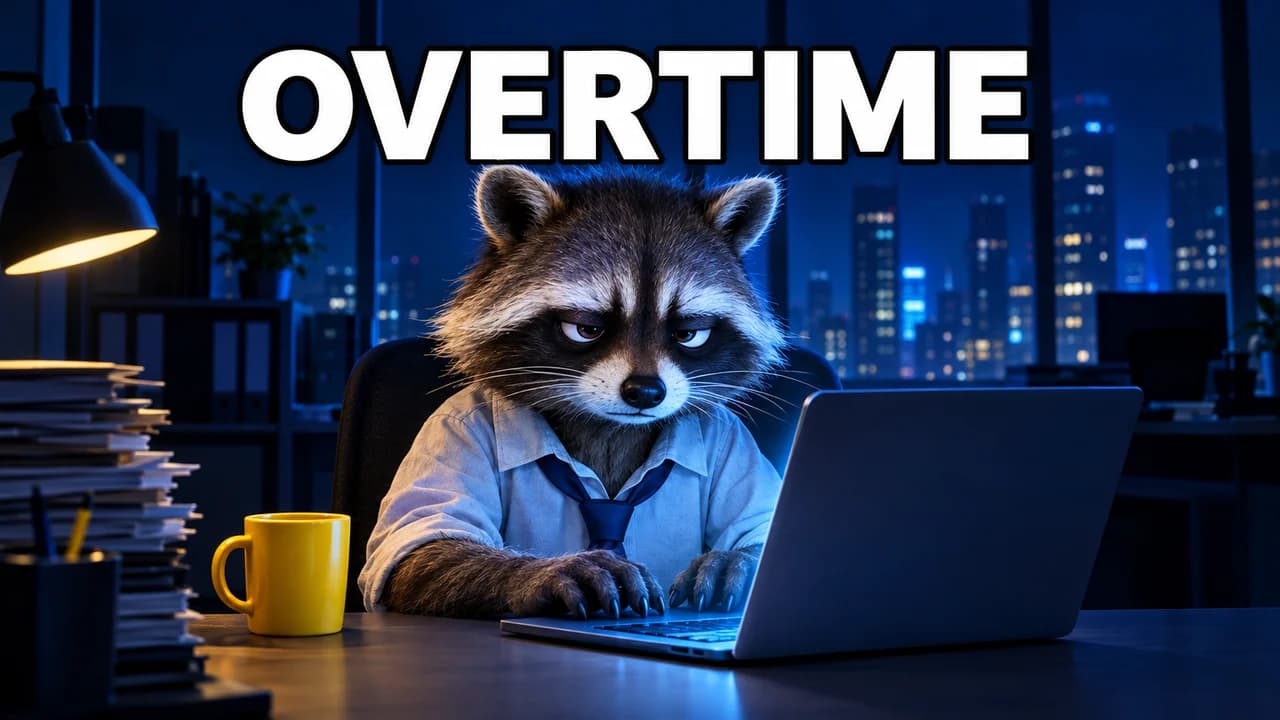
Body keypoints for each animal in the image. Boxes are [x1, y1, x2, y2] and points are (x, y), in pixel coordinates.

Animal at [363, 165, 787, 620]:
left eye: (688, 334)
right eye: (586, 328)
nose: (646, 392)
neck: (608, 426)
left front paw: (741, 560)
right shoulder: (454, 428)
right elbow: (425, 549)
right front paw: (551, 571)